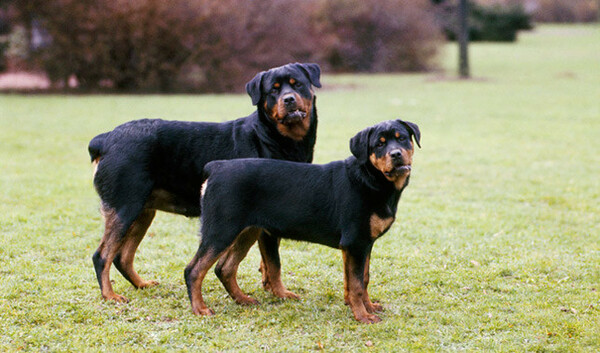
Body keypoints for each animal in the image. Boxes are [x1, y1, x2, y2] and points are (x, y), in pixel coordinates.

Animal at [88, 62, 322, 300]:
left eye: (297, 84)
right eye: (273, 91)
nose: (288, 99)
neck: (274, 137)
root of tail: (105, 139)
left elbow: (267, 261)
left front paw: (269, 286)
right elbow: (274, 261)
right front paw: (281, 293)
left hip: (143, 212)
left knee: (122, 257)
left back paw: (141, 284)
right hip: (125, 207)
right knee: (102, 255)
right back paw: (110, 296)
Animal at [185, 119, 420, 324]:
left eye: (402, 139)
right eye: (379, 144)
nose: (396, 154)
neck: (371, 178)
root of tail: (216, 167)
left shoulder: (360, 245)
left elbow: (362, 278)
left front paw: (366, 307)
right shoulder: (356, 242)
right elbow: (357, 284)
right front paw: (363, 316)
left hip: (247, 231)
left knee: (225, 268)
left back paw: (243, 300)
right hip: (221, 230)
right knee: (193, 270)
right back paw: (200, 309)